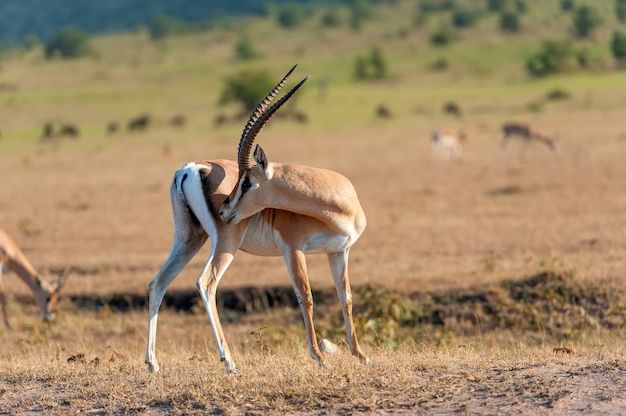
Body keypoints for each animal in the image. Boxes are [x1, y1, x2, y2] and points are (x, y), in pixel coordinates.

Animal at [145, 65, 366, 374]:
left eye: (247, 181)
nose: (225, 210)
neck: (338, 208)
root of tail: (190, 168)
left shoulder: (339, 251)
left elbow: (345, 297)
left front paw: (360, 355)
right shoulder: (293, 249)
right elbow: (305, 296)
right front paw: (319, 357)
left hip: (189, 239)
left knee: (159, 283)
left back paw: (152, 363)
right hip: (225, 242)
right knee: (206, 283)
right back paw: (229, 362)